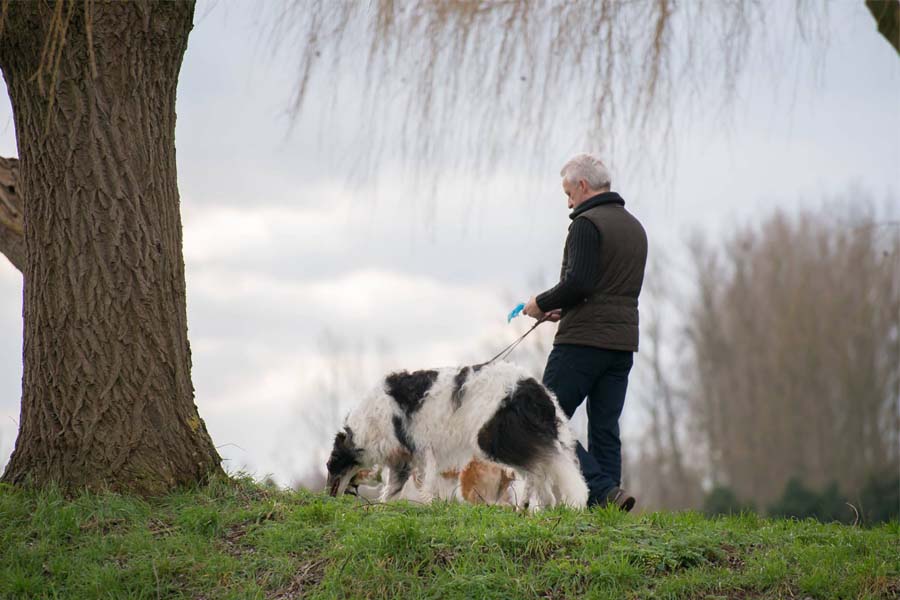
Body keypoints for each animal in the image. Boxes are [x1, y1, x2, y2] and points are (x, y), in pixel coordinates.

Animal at [326, 361, 588, 509]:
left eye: (330, 465)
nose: (328, 496)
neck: (368, 422)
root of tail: (535, 390)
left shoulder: (420, 449)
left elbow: (424, 483)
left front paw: (427, 504)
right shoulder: (405, 458)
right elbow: (392, 489)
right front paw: (384, 506)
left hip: (494, 439)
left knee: (537, 470)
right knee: (542, 473)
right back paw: (541, 506)